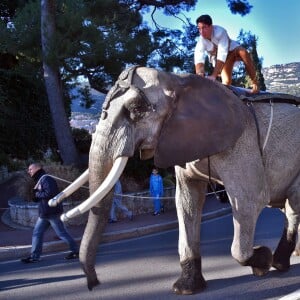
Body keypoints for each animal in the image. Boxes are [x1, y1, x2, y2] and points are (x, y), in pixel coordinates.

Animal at [48, 66, 298, 296]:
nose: (94, 284)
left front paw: (263, 261)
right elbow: (186, 202)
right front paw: (185, 289)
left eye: (136, 109)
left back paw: (279, 263)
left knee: (292, 205)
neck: (178, 81)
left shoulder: (242, 143)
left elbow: (249, 200)